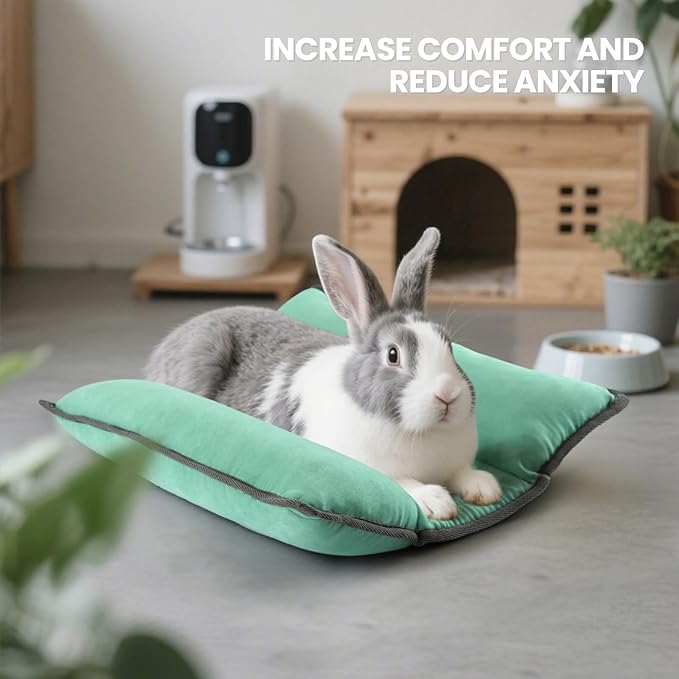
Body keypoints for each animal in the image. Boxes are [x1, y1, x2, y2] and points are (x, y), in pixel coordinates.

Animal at [144, 227, 501, 520]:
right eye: (393, 355)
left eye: (449, 345)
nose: (448, 395)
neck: (424, 433)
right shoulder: (371, 467)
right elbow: (401, 482)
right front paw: (437, 502)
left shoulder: (453, 464)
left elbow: (462, 472)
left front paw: (485, 488)